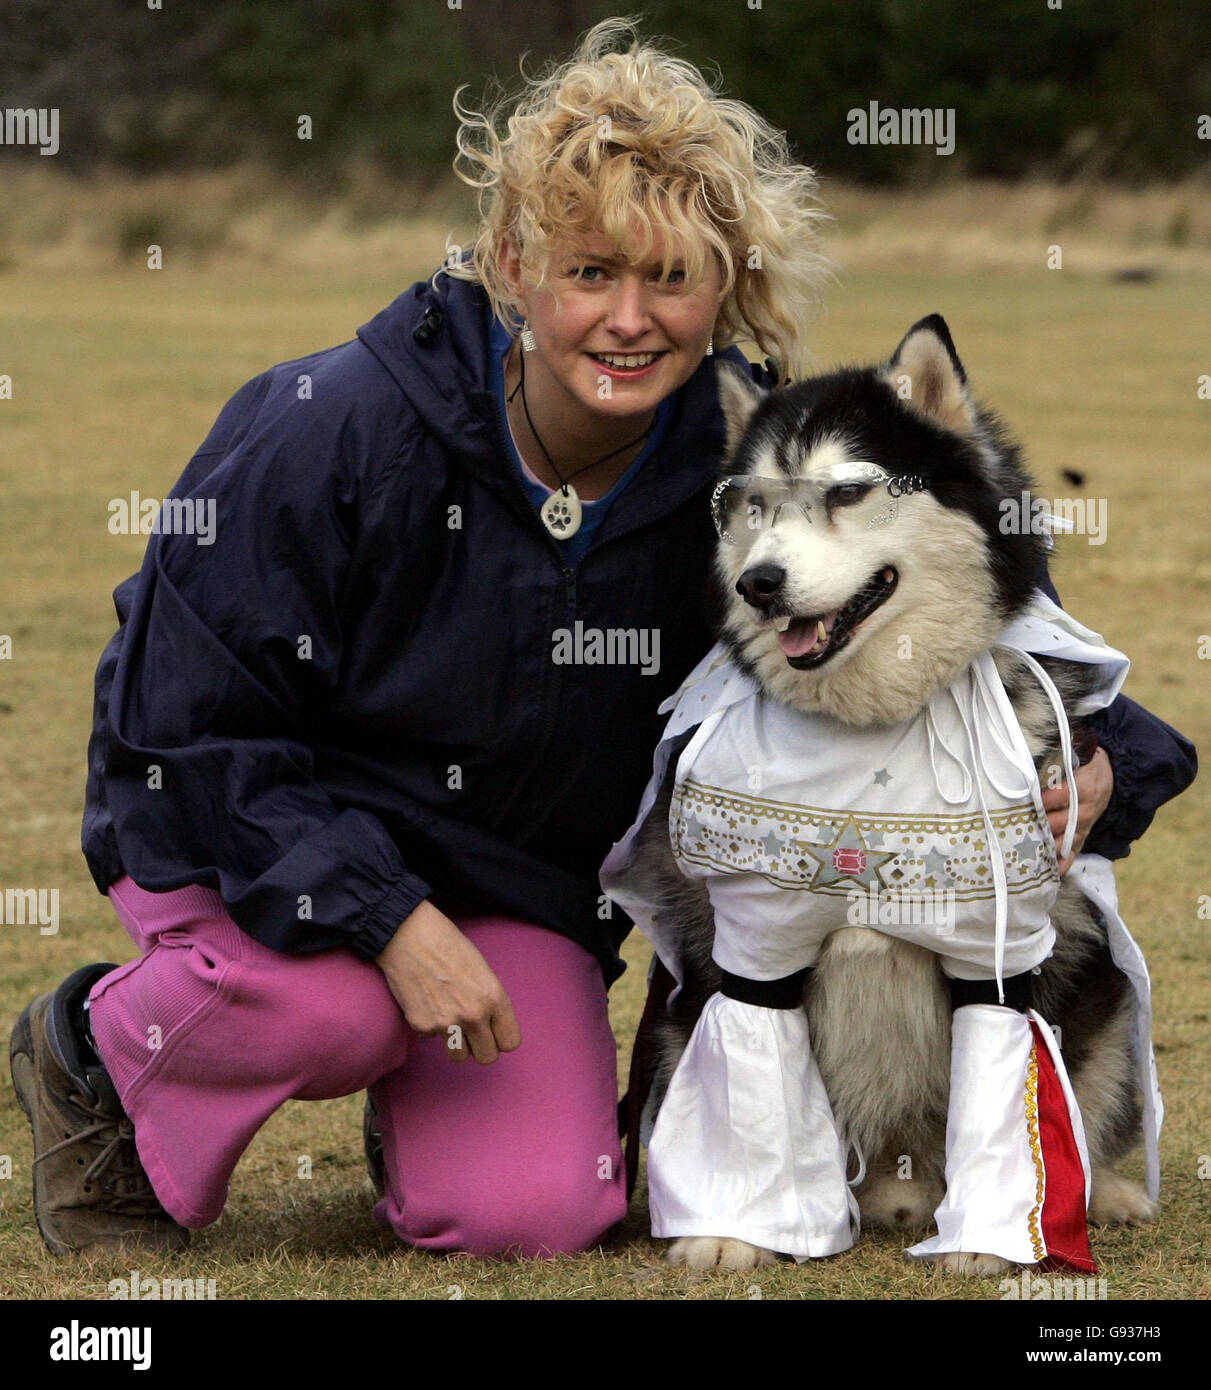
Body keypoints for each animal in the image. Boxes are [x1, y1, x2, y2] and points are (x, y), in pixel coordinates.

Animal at [620, 319, 1162, 1273]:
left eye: (846, 492)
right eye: (754, 505)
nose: (759, 582)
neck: (874, 732)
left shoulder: (1003, 950)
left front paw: (994, 1237)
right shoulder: (752, 948)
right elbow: (749, 1074)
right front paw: (735, 1227)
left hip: (1103, 997)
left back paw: (1101, 1196)